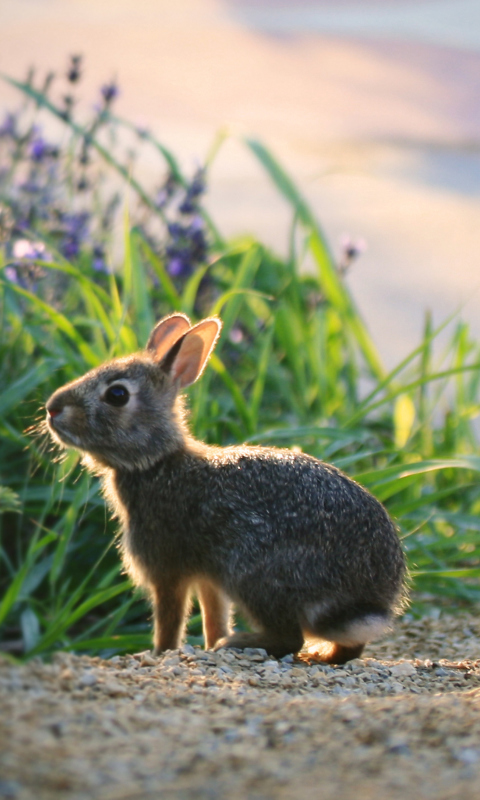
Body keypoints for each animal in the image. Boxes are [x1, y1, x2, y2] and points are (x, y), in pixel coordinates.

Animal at [44, 312, 404, 664]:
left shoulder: (166, 568)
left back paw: (241, 643)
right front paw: (207, 642)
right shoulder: (208, 579)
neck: (156, 462)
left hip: (254, 572)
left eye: (117, 395)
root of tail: (368, 598)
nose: (52, 408)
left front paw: (160, 653)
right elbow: (213, 614)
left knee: (290, 638)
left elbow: (169, 618)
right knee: (348, 647)